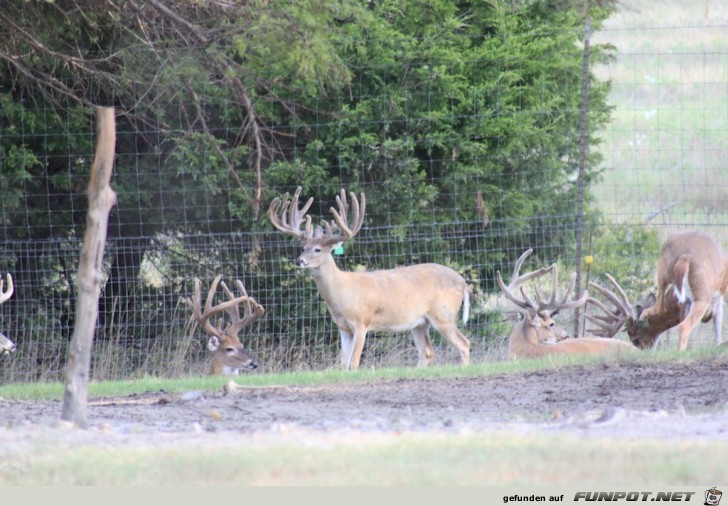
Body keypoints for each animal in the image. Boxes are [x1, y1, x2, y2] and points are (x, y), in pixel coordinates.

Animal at [268, 188, 472, 370]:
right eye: (303, 247)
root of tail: (463, 283)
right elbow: (343, 364)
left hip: (443, 314)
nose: (299, 260)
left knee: (464, 343)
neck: (342, 292)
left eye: (317, 249)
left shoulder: (362, 322)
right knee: (427, 352)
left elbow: (354, 363)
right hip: (420, 322)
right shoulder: (343, 327)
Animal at [584, 230, 728, 352]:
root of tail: (685, 258)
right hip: (694, 289)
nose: (642, 352)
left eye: (635, 340)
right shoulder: (714, 303)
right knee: (674, 318)